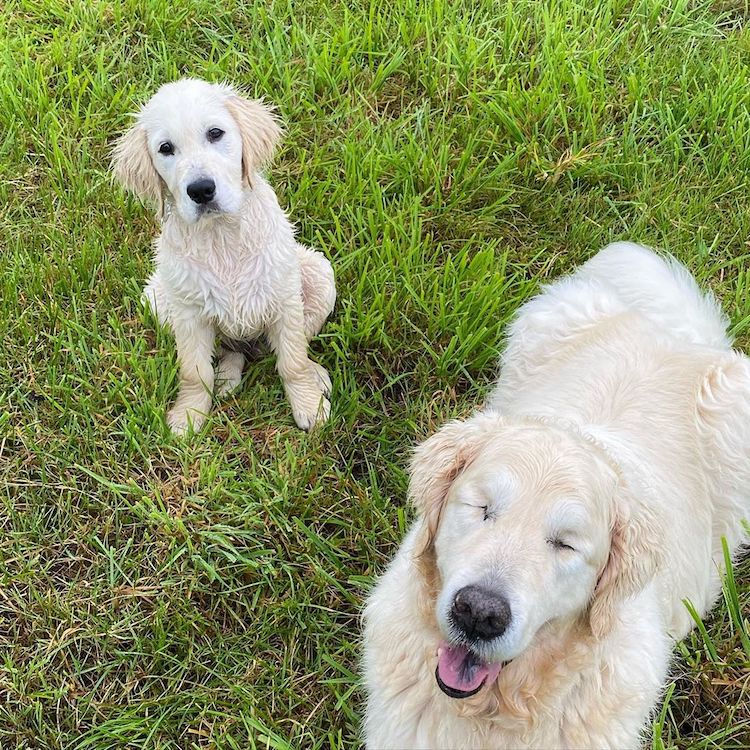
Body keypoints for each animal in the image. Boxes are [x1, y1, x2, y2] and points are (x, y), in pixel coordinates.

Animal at [111, 78, 334, 434]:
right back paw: (225, 378)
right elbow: (193, 371)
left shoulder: (284, 298)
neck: (221, 236)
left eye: (215, 133)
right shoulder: (188, 314)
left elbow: (293, 360)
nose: (201, 190)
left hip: (319, 274)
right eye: (165, 149)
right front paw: (189, 414)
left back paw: (315, 374)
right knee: (230, 351)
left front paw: (308, 405)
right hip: (156, 297)